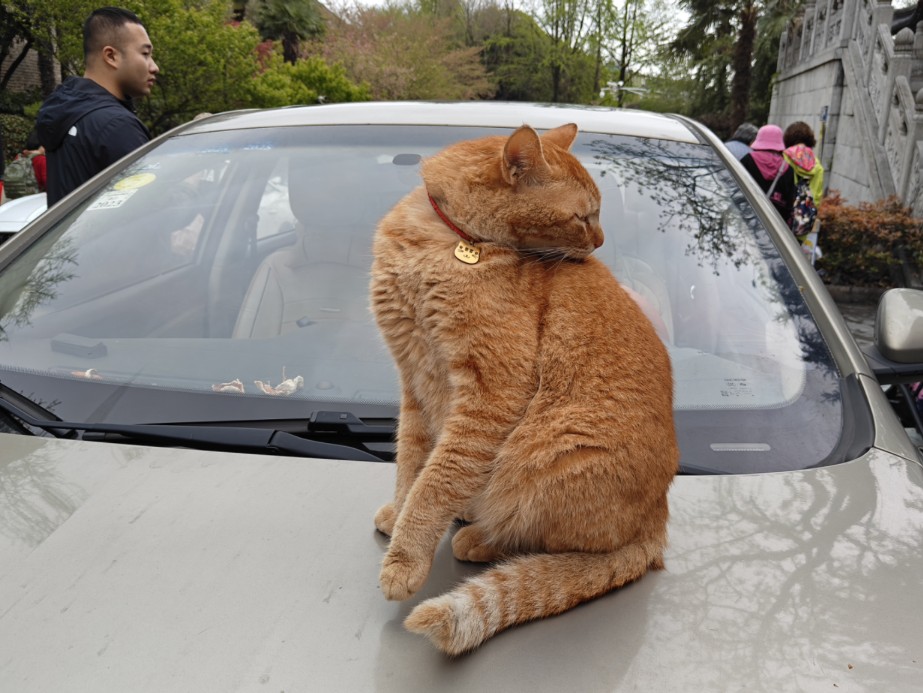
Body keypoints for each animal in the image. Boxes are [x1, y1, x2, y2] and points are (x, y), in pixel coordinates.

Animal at [368, 123, 680, 656]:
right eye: (583, 216)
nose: (601, 241)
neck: (444, 244)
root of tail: (656, 523)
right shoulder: (415, 382)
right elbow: (412, 464)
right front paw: (400, 515)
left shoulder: (491, 391)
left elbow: (437, 479)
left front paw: (405, 559)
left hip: (548, 454)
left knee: (549, 542)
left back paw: (480, 539)